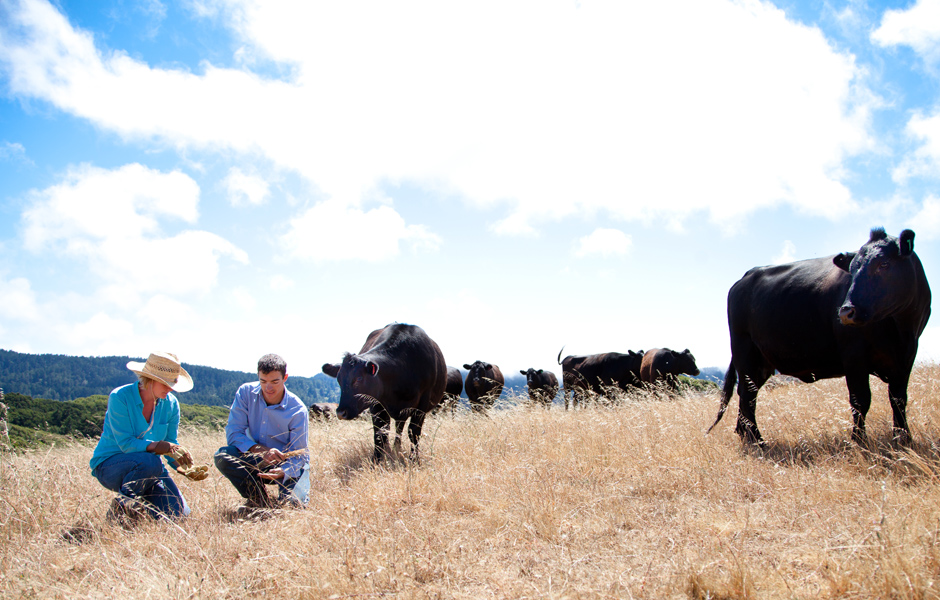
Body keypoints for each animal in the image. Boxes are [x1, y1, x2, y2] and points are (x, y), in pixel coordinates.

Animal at [322, 324, 446, 460]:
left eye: (359, 379)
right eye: (338, 379)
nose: (340, 412)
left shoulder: (423, 402)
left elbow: (414, 432)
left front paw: (414, 459)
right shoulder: (376, 403)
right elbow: (379, 431)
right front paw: (377, 459)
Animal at [712, 230, 932, 446]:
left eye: (884, 264)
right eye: (852, 270)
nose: (846, 312)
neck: (899, 328)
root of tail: (747, 276)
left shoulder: (906, 357)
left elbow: (899, 399)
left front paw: (903, 438)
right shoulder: (853, 355)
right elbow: (860, 400)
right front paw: (859, 441)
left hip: (762, 361)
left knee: (749, 394)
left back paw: (746, 434)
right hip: (744, 349)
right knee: (747, 394)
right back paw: (756, 440)